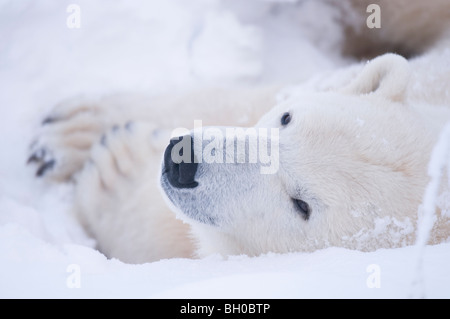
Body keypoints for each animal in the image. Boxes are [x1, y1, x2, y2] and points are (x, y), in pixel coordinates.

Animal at [28, 51, 450, 264]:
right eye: (287, 118)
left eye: (301, 205)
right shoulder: (434, 74)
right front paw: (72, 132)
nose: (182, 162)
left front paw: (117, 172)